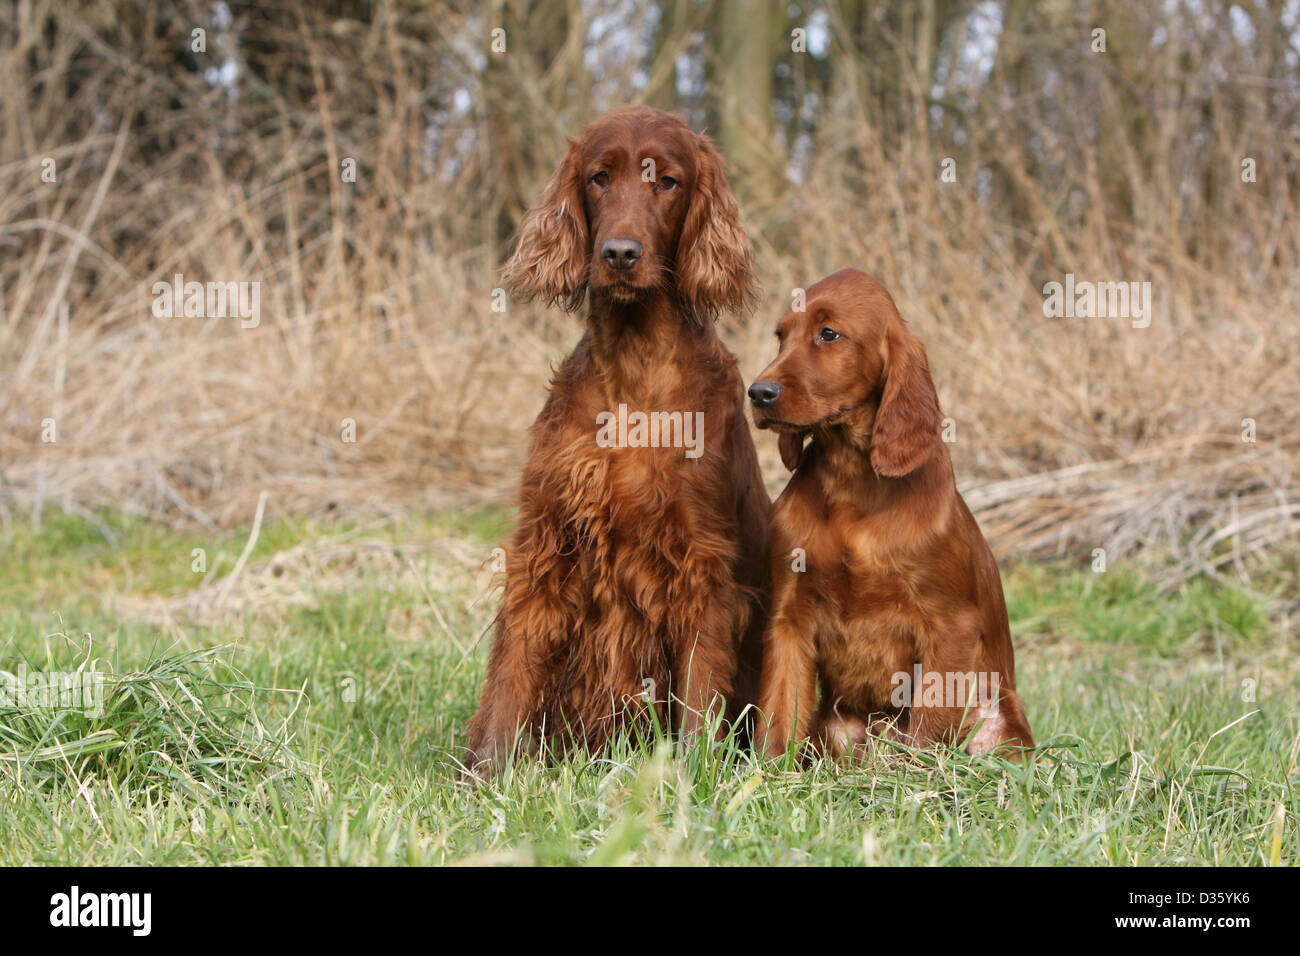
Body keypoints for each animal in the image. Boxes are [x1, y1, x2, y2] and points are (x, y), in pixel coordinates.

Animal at [467, 104, 769, 780]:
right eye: (600, 177)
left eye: (670, 182)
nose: (621, 254)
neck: (634, 371)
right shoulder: (546, 542)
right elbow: (511, 670)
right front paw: (485, 777)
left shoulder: (702, 563)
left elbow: (699, 690)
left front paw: (691, 778)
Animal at [748, 269, 1029, 764]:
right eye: (781, 337)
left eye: (828, 333)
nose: (759, 393)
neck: (852, 482)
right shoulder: (789, 617)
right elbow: (779, 707)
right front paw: (769, 771)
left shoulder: (949, 623)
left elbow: (929, 725)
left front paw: (917, 774)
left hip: (994, 725)